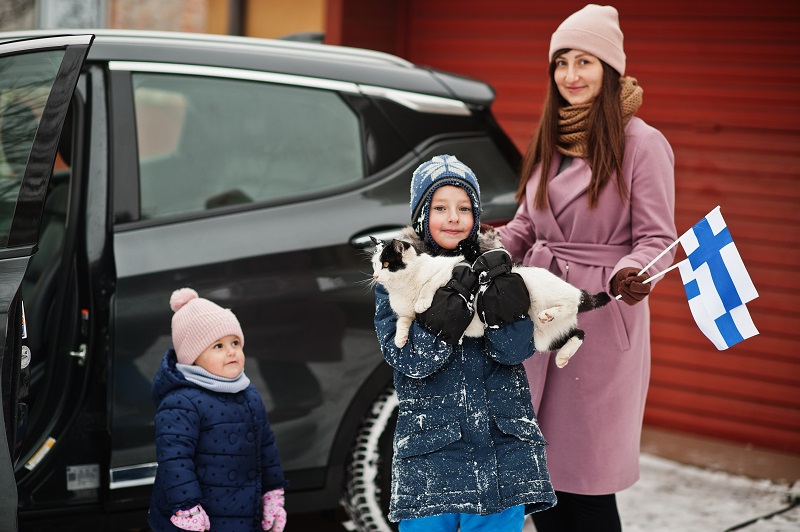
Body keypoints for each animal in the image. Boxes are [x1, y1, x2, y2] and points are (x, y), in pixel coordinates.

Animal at [372, 227, 608, 368]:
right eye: (374, 264)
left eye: (386, 264)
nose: (374, 275)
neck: (403, 288)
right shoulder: (406, 314)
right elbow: (403, 320)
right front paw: (400, 338)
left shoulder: (449, 268)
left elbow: (429, 285)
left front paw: (422, 302)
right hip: (545, 339)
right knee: (579, 333)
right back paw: (562, 356)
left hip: (542, 291)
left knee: (571, 303)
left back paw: (550, 313)